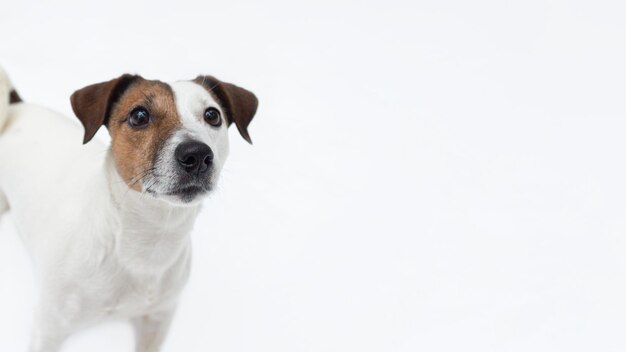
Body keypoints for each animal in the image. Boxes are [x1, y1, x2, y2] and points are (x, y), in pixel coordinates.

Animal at [0, 66, 256, 352]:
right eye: (139, 116)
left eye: (212, 115)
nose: (197, 154)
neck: (146, 241)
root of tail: (16, 107)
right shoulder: (48, 329)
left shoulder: (156, 322)